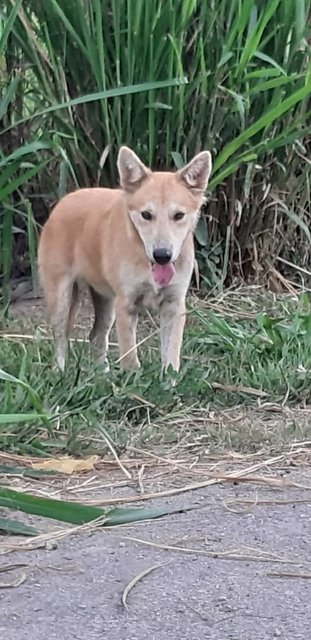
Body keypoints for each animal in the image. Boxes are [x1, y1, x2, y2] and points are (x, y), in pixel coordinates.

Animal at [36, 147, 212, 372]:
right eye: (146, 214)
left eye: (179, 215)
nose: (162, 255)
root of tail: (65, 200)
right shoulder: (126, 305)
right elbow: (130, 358)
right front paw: (131, 379)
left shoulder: (174, 305)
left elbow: (171, 357)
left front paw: (169, 380)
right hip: (61, 298)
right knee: (60, 339)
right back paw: (59, 372)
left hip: (106, 302)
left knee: (96, 336)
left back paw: (101, 373)